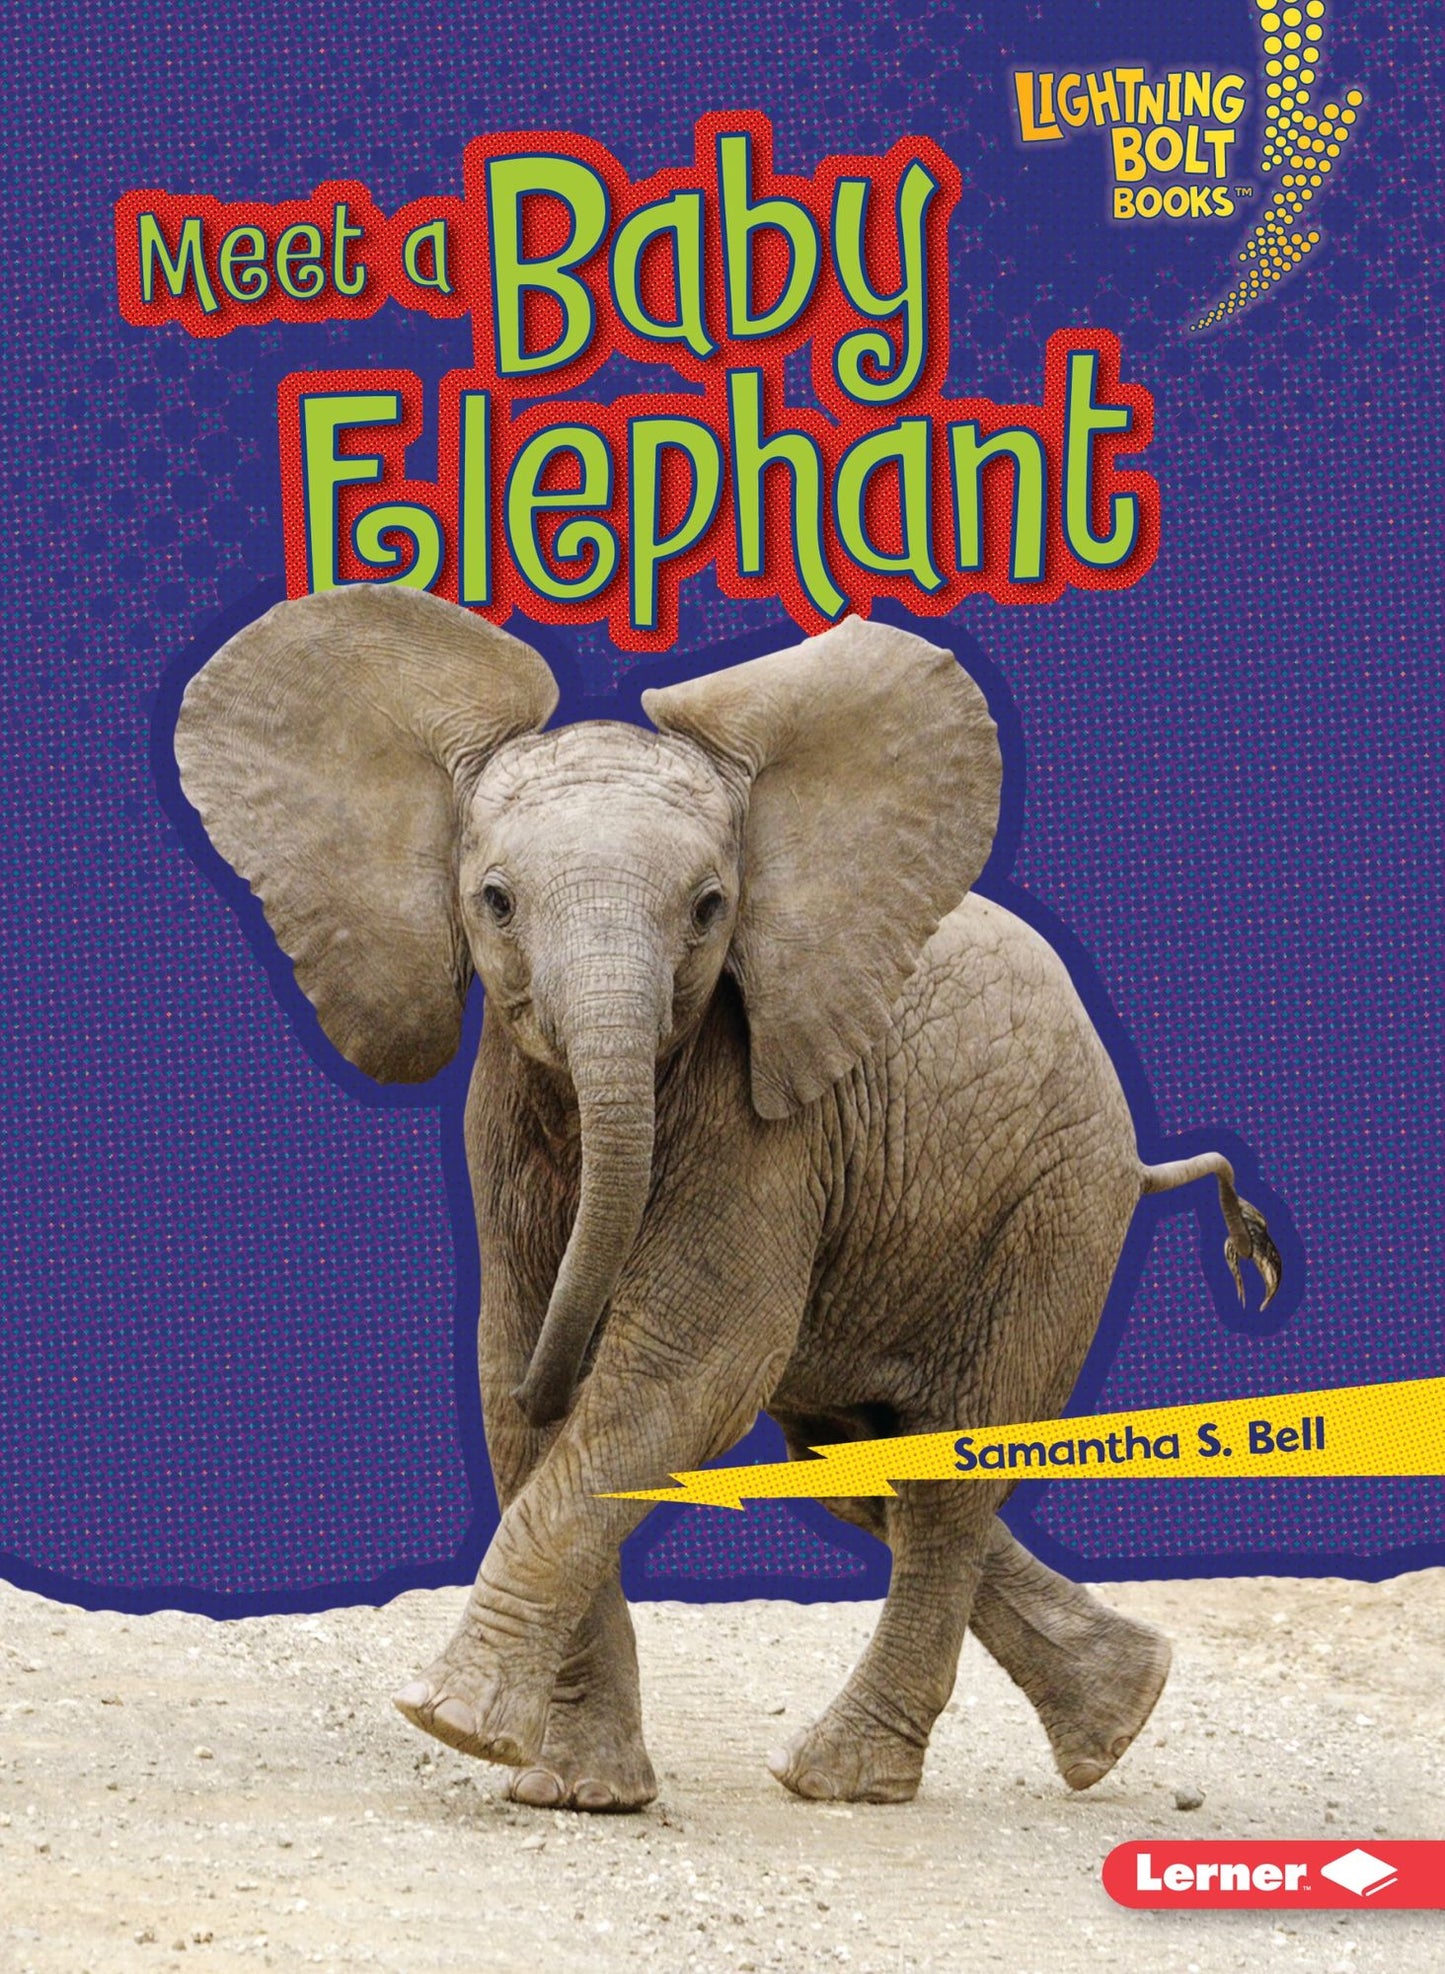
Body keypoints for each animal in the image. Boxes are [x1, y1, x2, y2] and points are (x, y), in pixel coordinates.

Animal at [174, 581, 1281, 1812]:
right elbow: (516, 1377)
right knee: (857, 1469)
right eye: (494, 902)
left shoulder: (770, 1125)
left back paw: (844, 1777)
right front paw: (577, 1791)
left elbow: (681, 1367)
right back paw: (1118, 1712)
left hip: (1052, 1208)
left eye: (710, 909)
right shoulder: (501, 1116)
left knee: (943, 1474)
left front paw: (453, 1723)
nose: (565, 1352)